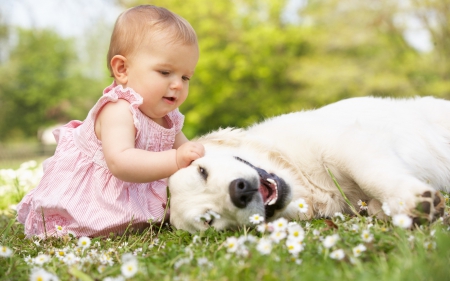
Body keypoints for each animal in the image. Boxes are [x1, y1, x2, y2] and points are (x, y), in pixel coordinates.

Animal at [167, 96, 448, 232]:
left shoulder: (346, 143)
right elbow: (374, 205)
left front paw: (410, 200)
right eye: (208, 220)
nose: (239, 192)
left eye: (202, 171)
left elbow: (371, 175)